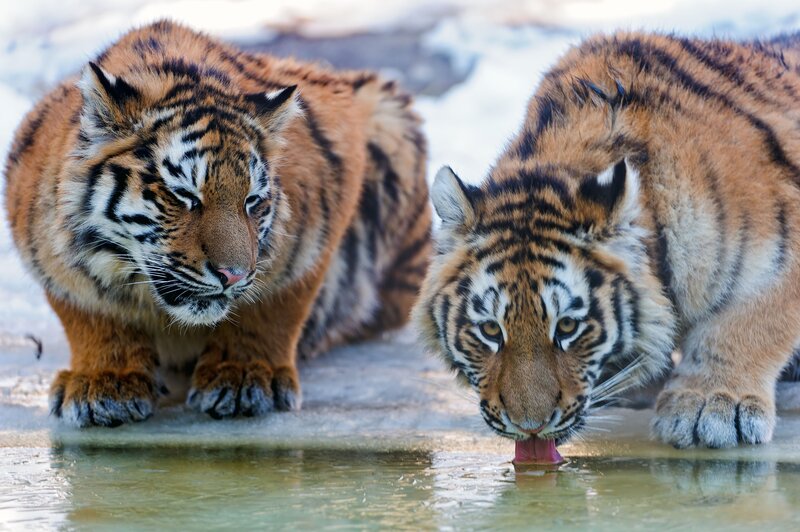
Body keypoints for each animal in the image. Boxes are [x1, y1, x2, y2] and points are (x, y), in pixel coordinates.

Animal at [4, 20, 431, 427]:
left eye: (251, 201)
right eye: (184, 195)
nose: (233, 275)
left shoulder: (321, 216)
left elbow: (277, 303)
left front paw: (243, 376)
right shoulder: (50, 250)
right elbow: (92, 312)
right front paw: (105, 382)